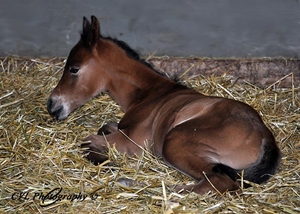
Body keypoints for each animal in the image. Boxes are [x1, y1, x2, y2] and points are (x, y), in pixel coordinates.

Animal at [45, 15, 280, 195]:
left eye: (74, 69)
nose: (51, 105)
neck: (149, 94)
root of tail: (266, 137)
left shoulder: (132, 143)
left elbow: (87, 140)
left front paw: (106, 161)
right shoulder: (121, 129)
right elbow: (104, 127)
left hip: (174, 142)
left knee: (218, 183)